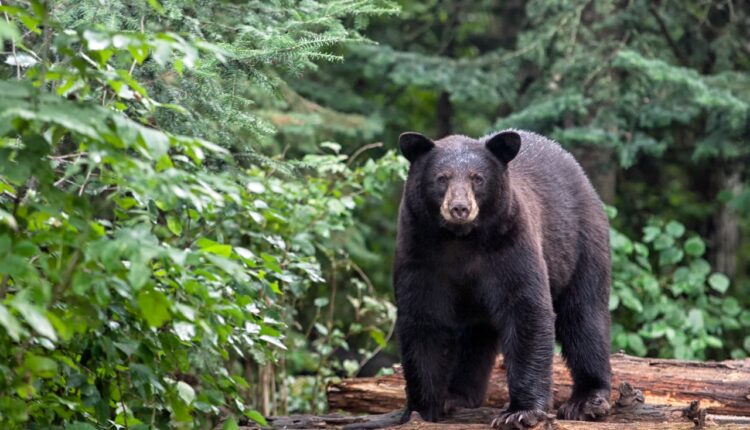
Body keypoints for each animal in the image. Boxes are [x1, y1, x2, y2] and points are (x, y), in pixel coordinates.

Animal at [393, 129, 612, 429]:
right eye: (442, 178)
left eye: (477, 178)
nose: (460, 208)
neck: (460, 240)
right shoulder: (419, 251)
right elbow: (422, 320)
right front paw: (421, 409)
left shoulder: (509, 244)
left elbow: (526, 309)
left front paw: (520, 412)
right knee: (474, 336)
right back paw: (457, 396)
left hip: (581, 244)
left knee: (584, 316)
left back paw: (587, 399)